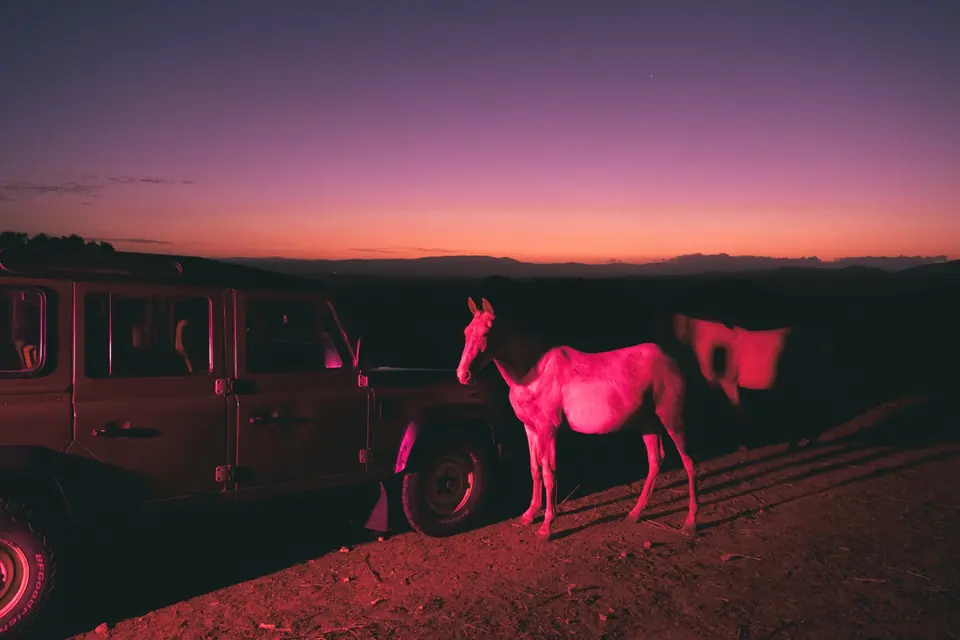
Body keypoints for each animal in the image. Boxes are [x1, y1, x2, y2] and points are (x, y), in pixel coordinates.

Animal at [456, 297, 699, 540]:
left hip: (672, 420)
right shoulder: (531, 429)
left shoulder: (548, 430)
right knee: (655, 461)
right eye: (466, 331)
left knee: (689, 463)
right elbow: (535, 470)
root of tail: (672, 360)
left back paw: (690, 523)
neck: (532, 374)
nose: (462, 375)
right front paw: (529, 515)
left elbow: (549, 473)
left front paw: (546, 526)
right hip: (648, 423)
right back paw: (635, 513)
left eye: (486, 333)